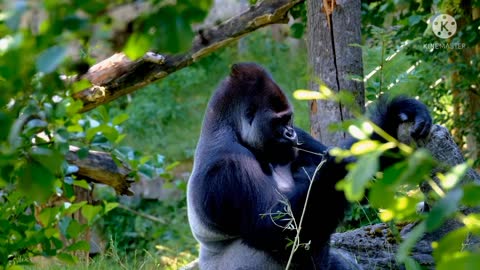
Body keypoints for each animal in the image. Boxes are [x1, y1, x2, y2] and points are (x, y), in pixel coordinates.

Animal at [187, 62, 432, 268]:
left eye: (289, 119)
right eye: (279, 121)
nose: (290, 133)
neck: (226, 128)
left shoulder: (301, 138)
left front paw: (395, 115)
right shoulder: (229, 165)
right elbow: (278, 230)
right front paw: (337, 168)